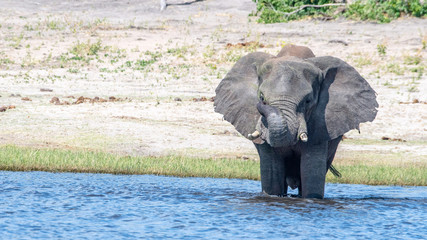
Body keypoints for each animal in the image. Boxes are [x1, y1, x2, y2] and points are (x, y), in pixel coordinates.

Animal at [214, 44, 378, 198]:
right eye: (261, 97)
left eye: (307, 101)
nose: (261, 104)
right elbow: (272, 177)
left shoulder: (320, 125)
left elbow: (312, 176)